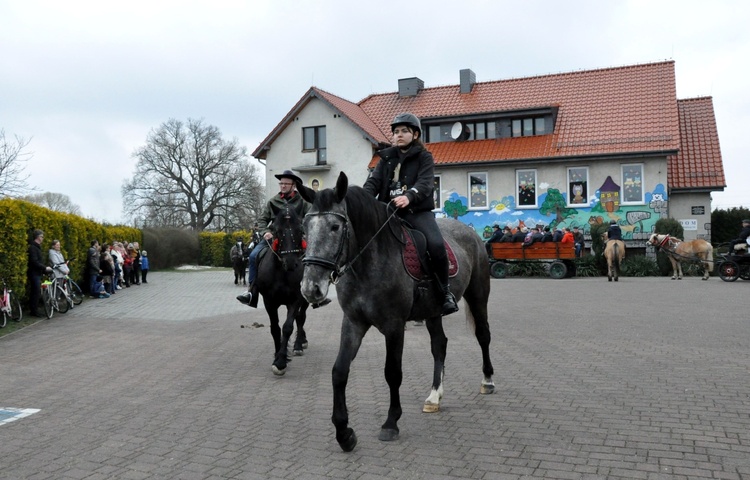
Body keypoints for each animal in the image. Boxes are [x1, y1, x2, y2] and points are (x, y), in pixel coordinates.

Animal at [254, 202, 310, 376]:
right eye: (276, 230)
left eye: (300, 229)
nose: (291, 262)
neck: (282, 273)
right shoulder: (269, 301)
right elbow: (275, 328)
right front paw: (278, 354)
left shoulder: (296, 300)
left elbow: (287, 327)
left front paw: (280, 362)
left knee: (301, 318)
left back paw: (299, 344)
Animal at [296, 173, 496, 454]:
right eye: (305, 228)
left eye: (335, 227)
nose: (310, 288)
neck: (369, 261)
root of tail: (471, 233)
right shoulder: (353, 323)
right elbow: (339, 371)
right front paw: (344, 432)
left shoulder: (394, 326)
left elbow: (392, 372)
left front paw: (391, 423)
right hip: (433, 312)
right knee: (439, 345)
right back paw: (434, 396)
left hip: (478, 296)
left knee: (483, 335)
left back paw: (487, 381)